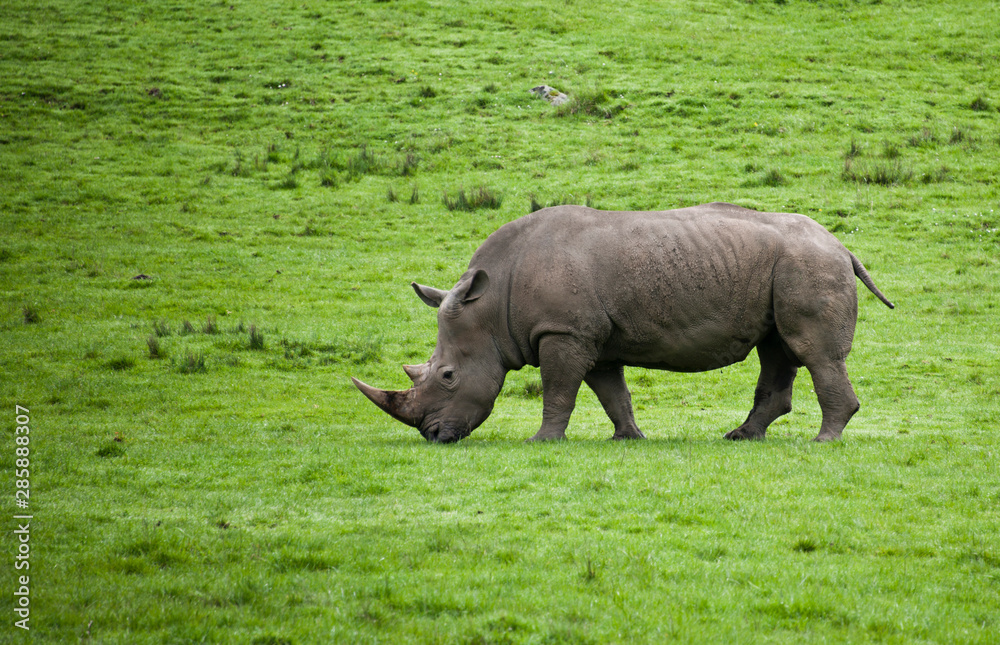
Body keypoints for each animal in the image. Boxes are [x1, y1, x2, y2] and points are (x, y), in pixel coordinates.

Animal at [352, 202, 894, 443]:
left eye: (447, 376)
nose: (433, 436)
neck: (489, 304)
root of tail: (842, 245)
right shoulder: (589, 335)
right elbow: (610, 391)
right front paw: (628, 439)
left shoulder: (562, 331)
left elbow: (559, 390)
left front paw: (542, 442)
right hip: (791, 265)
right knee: (777, 350)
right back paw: (741, 437)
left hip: (809, 263)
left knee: (811, 351)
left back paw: (823, 441)